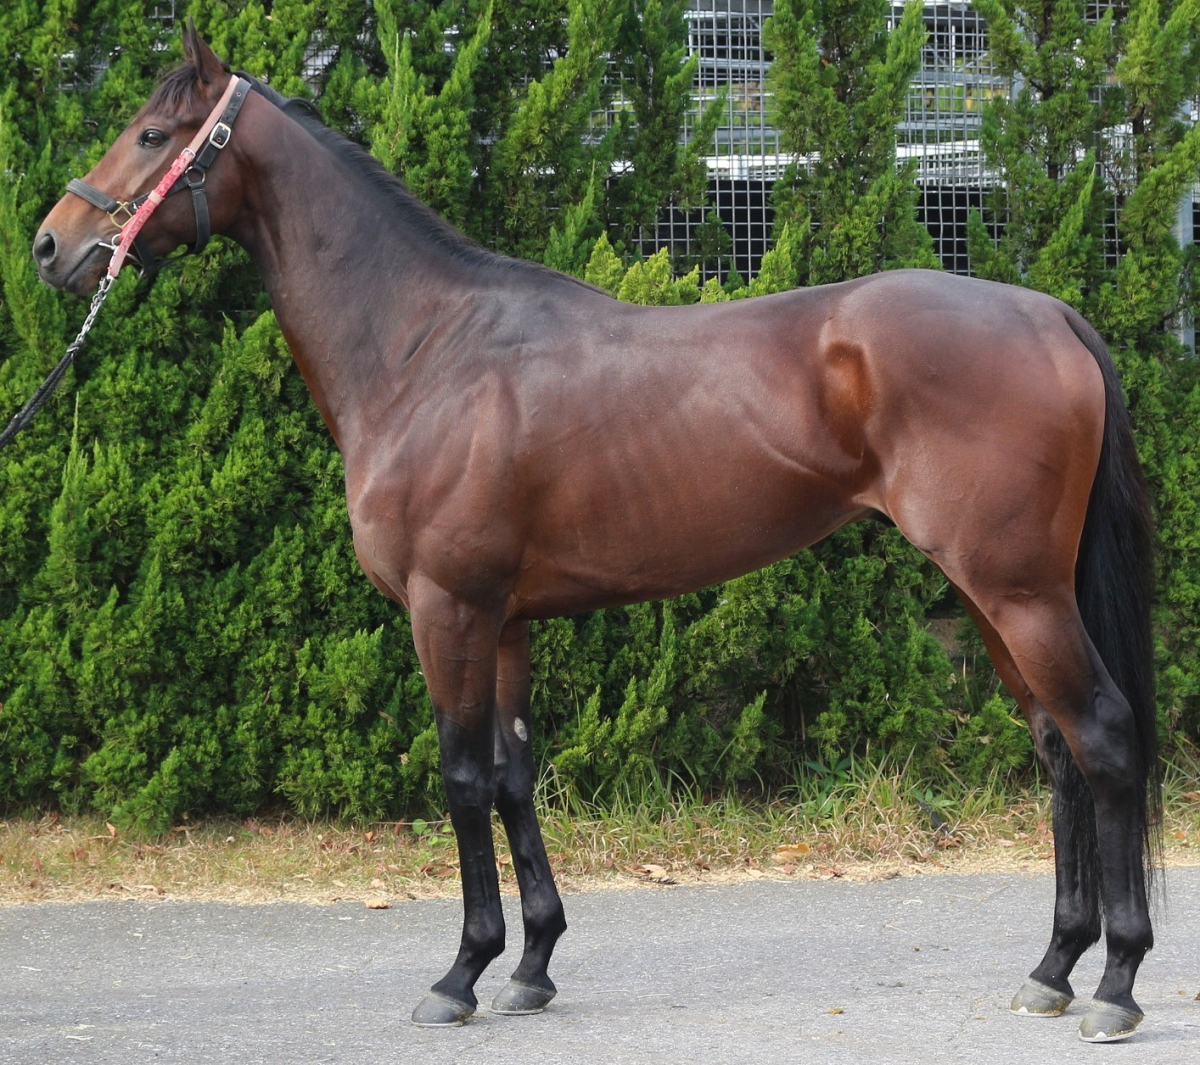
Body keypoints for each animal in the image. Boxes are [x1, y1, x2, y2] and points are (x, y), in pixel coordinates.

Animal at [32, 24, 1159, 1043]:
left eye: (153, 133)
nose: (51, 244)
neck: (427, 347)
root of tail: (1049, 314)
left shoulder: (447, 610)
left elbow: (461, 778)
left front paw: (460, 974)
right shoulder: (506, 619)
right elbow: (514, 777)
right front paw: (530, 964)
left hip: (1017, 591)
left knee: (1103, 739)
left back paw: (1115, 985)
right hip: (994, 595)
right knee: (1058, 749)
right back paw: (1052, 970)